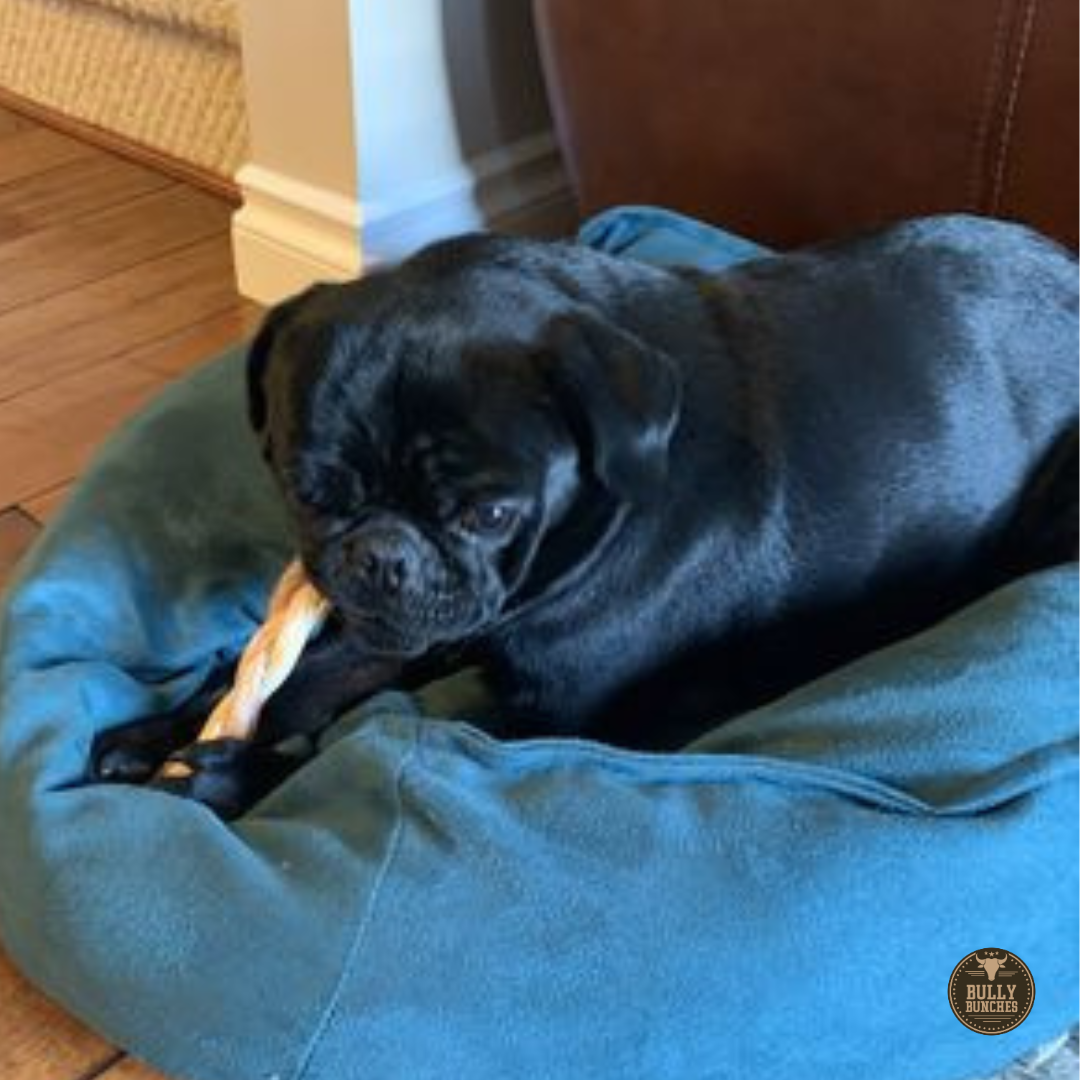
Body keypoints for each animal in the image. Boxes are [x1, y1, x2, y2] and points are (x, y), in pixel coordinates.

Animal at [95, 214, 1080, 812]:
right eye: (307, 492)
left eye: (493, 514)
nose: (381, 555)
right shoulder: (399, 630)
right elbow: (305, 682)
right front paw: (165, 730)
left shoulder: (550, 714)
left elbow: (356, 736)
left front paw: (233, 775)